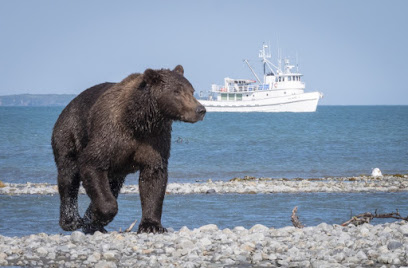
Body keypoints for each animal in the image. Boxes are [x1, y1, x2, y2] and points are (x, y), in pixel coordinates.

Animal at [51, 65, 204, 234]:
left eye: (192, 90)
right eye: (177, 91)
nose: (200, 110)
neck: (138, 121)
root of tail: (68, 105)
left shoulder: (155, 139)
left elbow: (153, 177)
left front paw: (151, 225)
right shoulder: (110, 135)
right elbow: (92, 163)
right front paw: (97, 215)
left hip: (116, 169)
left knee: (112, 184)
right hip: (69, 133)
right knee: (68, 175)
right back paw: (71, 220)